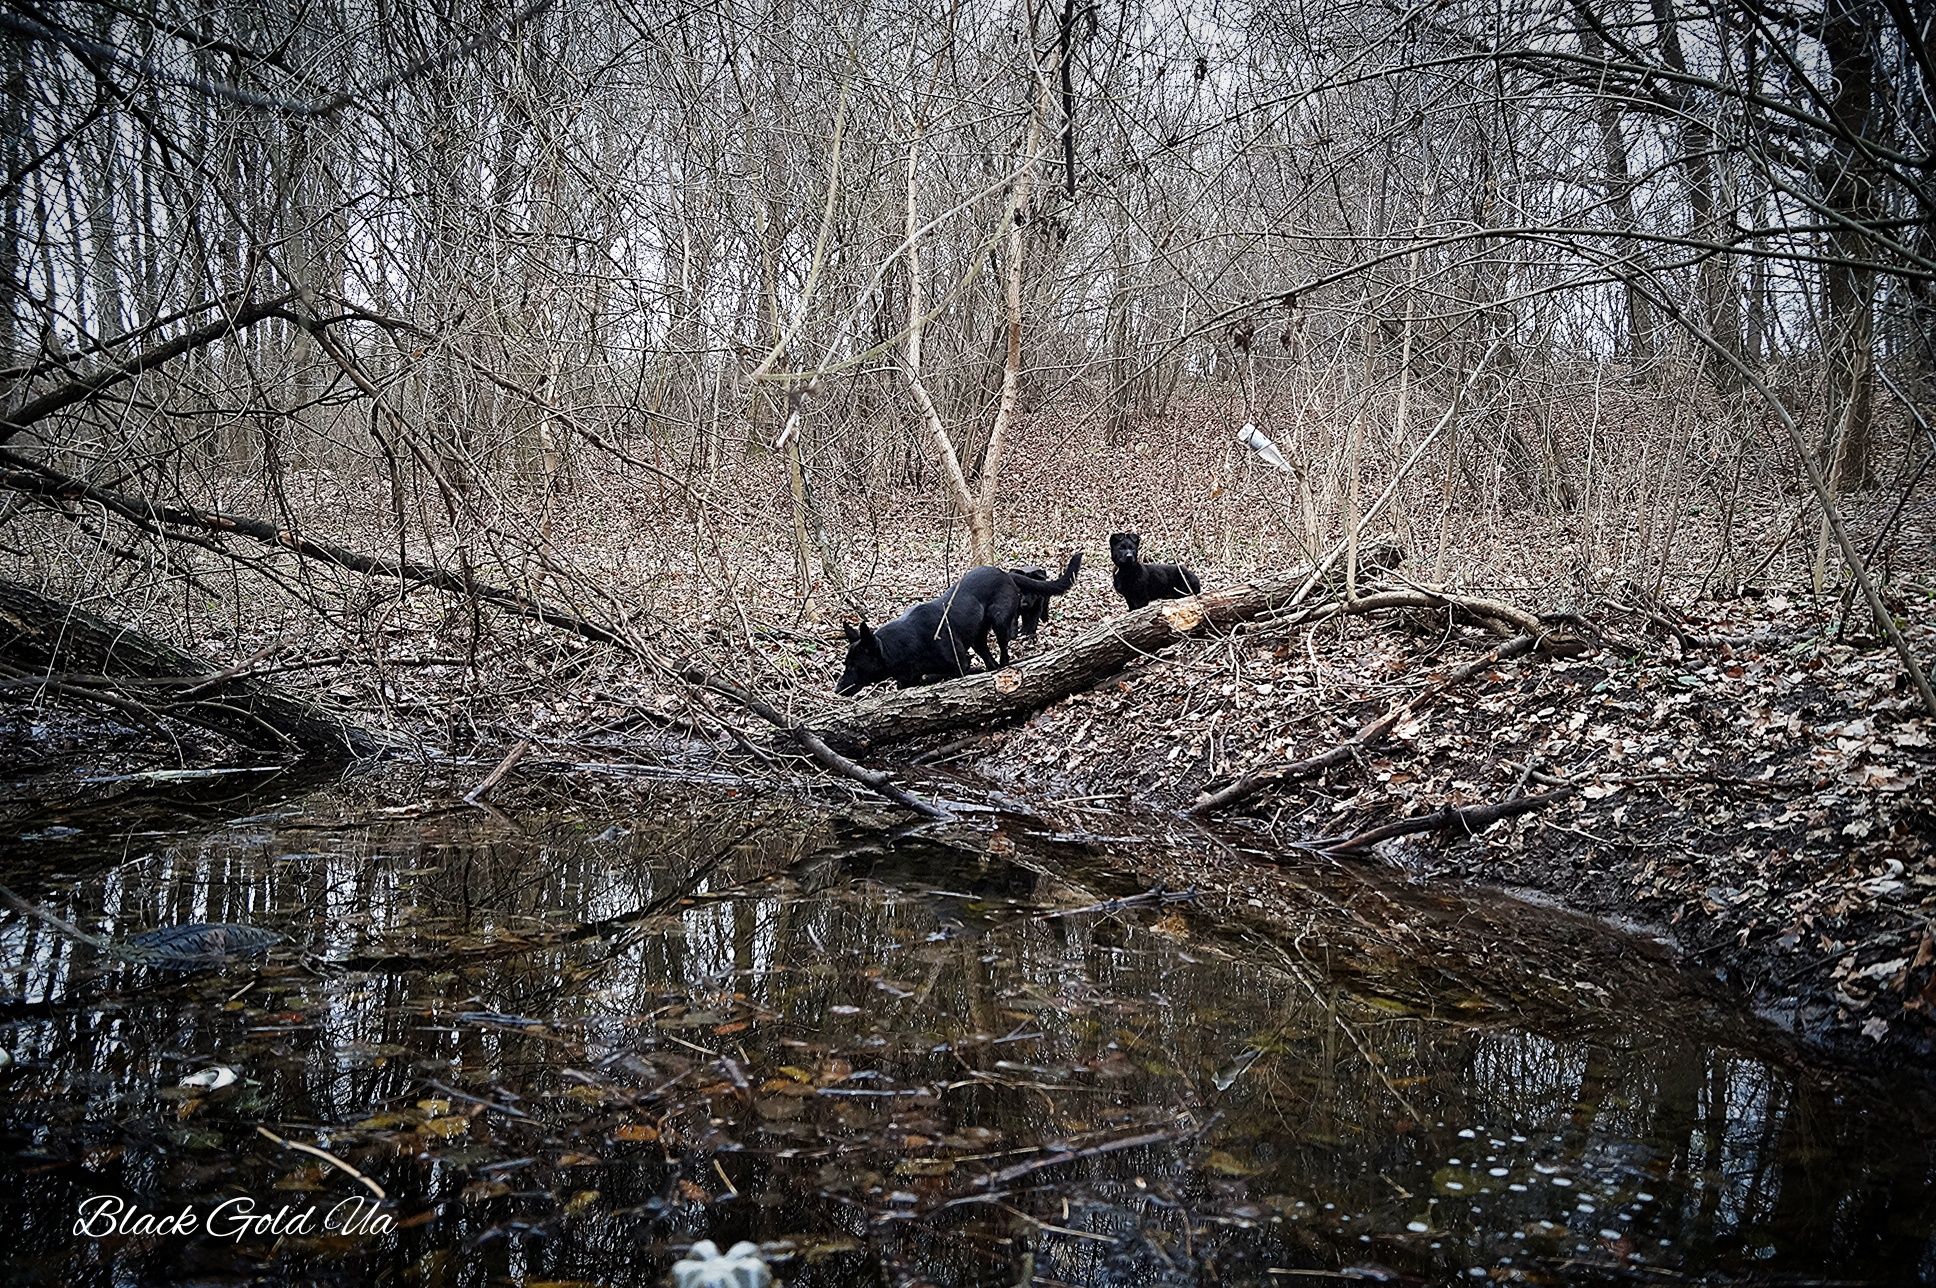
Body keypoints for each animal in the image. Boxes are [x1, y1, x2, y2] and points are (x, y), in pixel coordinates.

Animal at [836, 553, 1084, 693]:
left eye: (853, 666)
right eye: (845, 664)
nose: (837, 689)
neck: (902, 645)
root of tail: (1006, 574)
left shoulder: (960, 663)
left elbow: (944, 674)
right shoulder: (907, 680)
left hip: (1000, 621)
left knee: (1003, 653)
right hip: (978, 638)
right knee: (990, 661)